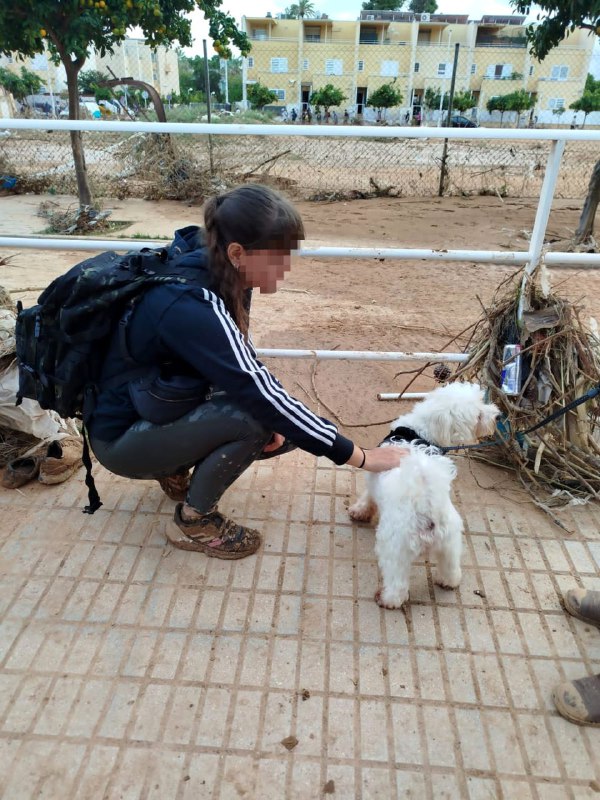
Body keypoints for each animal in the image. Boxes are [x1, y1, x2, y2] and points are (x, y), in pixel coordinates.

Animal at [350, 384, 500, 608]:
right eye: (479, 414)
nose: (497, 415)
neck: (419, 432)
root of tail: (428, 510)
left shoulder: (372, 479)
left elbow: (368, 498)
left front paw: (359, 512)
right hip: (450, 542)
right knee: (451, 567)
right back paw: (448, 581)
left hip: (394, 547)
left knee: (397, 582)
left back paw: (387, 599)